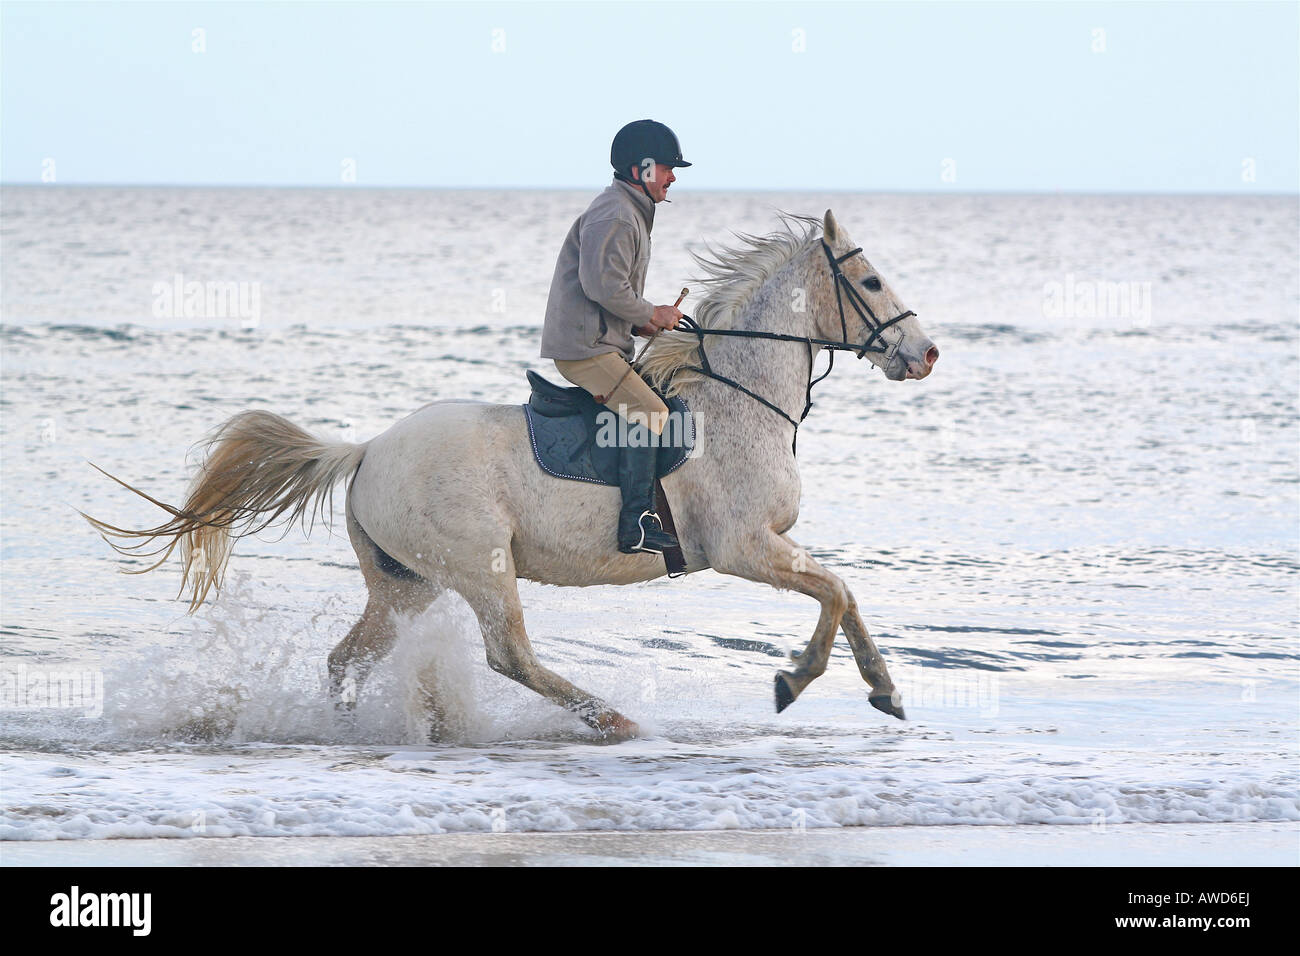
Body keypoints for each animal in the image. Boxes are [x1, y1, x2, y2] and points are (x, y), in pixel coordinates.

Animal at [86, 213, 941, 743]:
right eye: (870, 284)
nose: (925, 353)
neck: (737, 399)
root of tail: (368, 449)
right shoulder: (743, 548)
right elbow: (836, 592)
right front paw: (796, 681)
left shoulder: (764, 548)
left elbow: (845, 596)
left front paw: (886, 691)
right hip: (480, 566)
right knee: (510, 657)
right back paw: (615, 721)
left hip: (405, 583)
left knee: (348, 658)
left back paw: (354, 733)